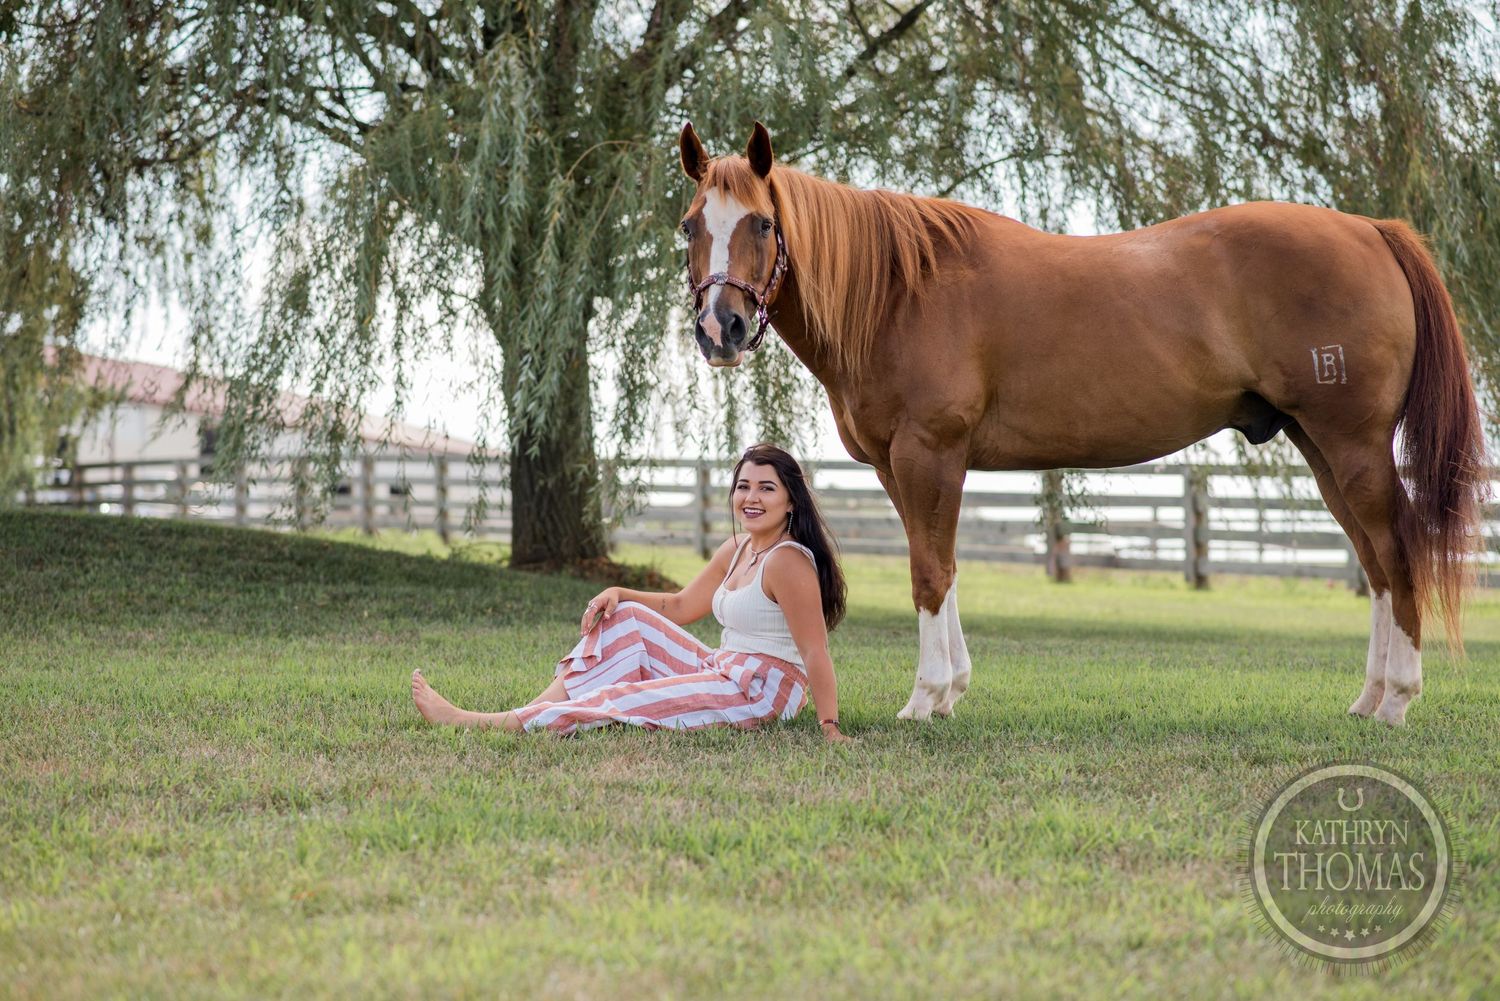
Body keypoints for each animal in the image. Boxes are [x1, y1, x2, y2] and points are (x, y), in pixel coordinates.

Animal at [675, 121, 1487, 726]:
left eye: (762, 222)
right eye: (689, 226)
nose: (721, 329)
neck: (901, 292)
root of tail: (1372, 231)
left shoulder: (929, 453)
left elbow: (928, 571)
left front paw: (924, 699)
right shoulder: (898, 466)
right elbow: (944, 565)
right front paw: (954, 689)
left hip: (1353, 446)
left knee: (1397, 552)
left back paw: (1397, 702)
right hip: (1319, 447)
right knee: (1375, 564)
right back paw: (1368, 699)